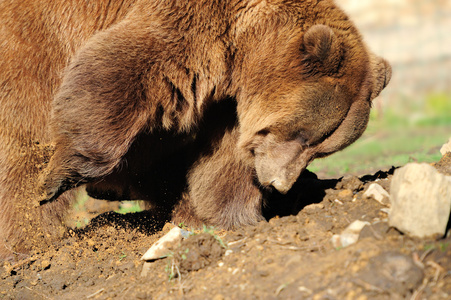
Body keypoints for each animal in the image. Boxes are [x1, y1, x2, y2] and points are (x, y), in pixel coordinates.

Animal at [0, 0, 390, 258]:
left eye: (321, 149)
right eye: (304, 135)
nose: (278, 183)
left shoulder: (230, 100)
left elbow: (224, 160)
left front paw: (234, 219)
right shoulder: (189, 28)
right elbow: (116, 71)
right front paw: (58, 177)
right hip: (31, 48)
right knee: (25, 140)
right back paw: (34, 239)